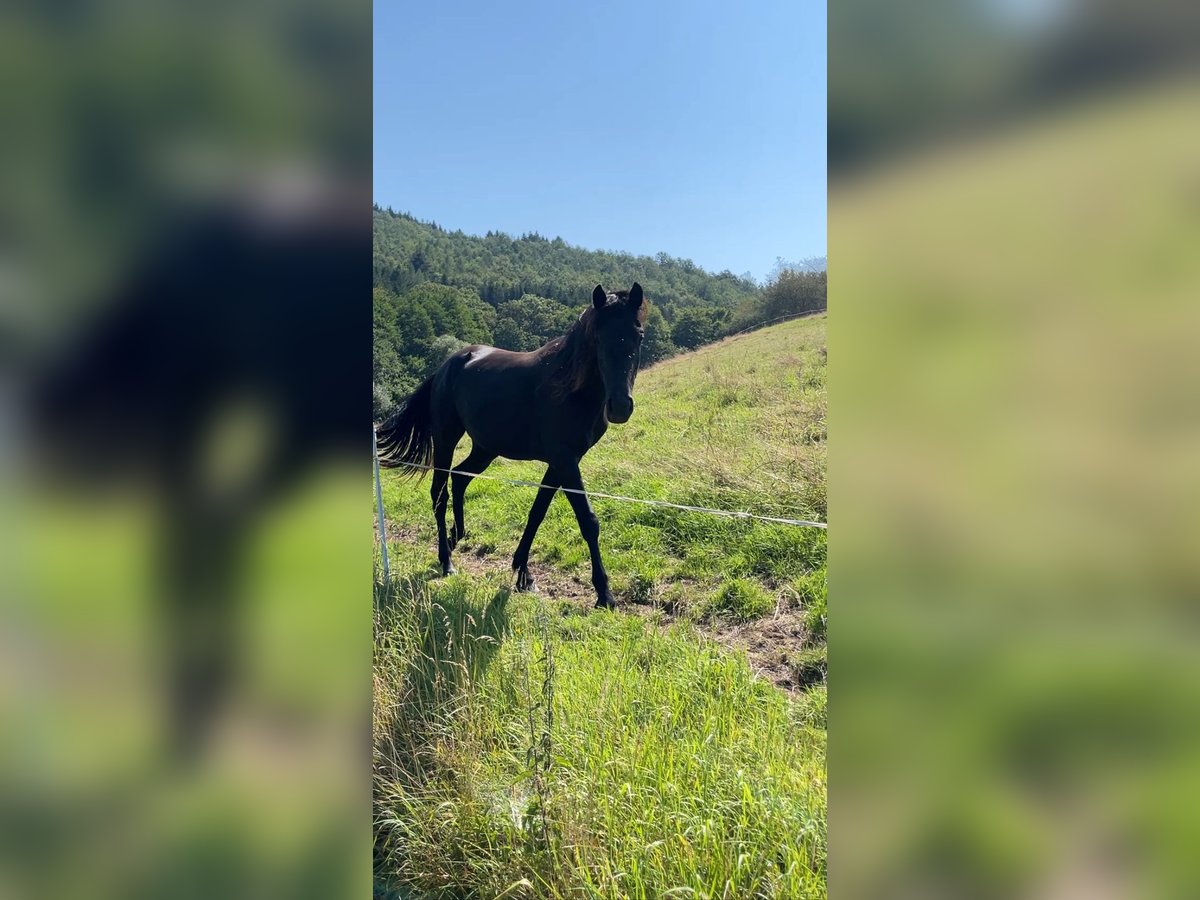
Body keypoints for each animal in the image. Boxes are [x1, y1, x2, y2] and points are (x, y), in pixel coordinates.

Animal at [381, 282, 648, 609]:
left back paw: (457, 537)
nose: (620, 407)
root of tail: (447, 365)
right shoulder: (565, 461)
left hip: (485, 448)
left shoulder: (562, 462)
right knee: (439, 493)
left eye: (639, 335)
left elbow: (537, 513)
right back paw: (446, 560)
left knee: (460, 478)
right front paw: (604, 593)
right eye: (598, 337)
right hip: (446, 439)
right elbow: (588, 521)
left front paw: (523, 574)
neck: (568, 387)